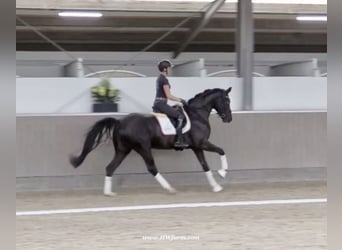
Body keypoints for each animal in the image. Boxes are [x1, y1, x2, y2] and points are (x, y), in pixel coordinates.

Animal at [71, 87, 234, 195]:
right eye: (227, 101)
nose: (229, 119)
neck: (197, 115)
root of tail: (120, 122)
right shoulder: (202, 143)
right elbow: (221, 151)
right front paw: (222, 173)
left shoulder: (197, 147)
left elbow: (205, 165)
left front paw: (216, 186)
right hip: (143, 148)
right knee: (151, 168)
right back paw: (169, 188)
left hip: (123, 150)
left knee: (110, 168)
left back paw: (108, 193)